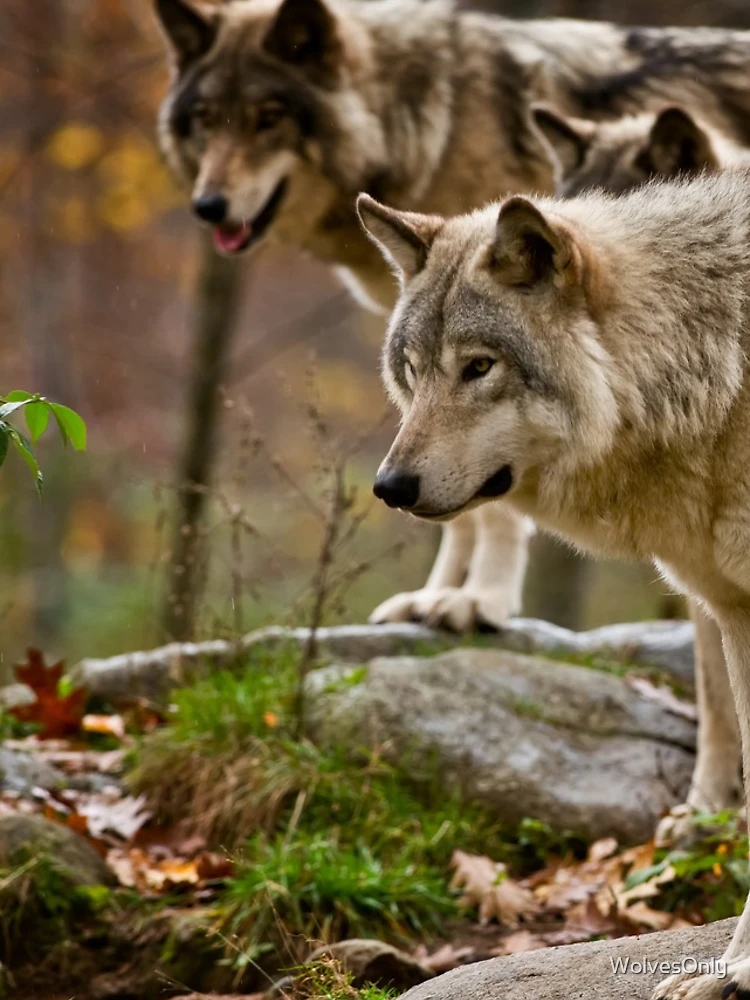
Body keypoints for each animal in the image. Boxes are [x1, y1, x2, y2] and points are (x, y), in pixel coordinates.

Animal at [155, 0, 750, 640]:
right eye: (206, 120)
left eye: (268, 118)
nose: (207, 206)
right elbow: (461, 513)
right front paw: (434, 598)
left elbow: (496, 517)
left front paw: (479, 601)